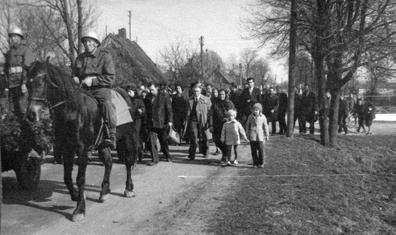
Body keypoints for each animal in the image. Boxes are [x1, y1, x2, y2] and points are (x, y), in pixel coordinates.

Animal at [25, 61, 139, 222]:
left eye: (43, 81)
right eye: (27, 84)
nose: (31, 114)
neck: (73, 111)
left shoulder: (82, 150)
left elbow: (80, 178)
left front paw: (79, 209)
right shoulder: (67, 148)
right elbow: (67, 177)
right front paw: (75, 196)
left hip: (128, 137)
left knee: (128, 162)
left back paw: (128, 189)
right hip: (103, 144)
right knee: (108, 163)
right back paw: (104, 191)